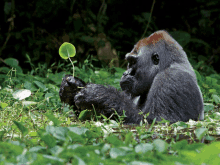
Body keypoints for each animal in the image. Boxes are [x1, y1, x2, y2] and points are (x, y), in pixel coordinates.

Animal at [58, 30, 205, 124]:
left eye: (132, 62)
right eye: (129, 62)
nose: (125, 73)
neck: (168, 64)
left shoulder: (171, 78)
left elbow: (155, 121)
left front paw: (99, 94)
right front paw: (72, 88)